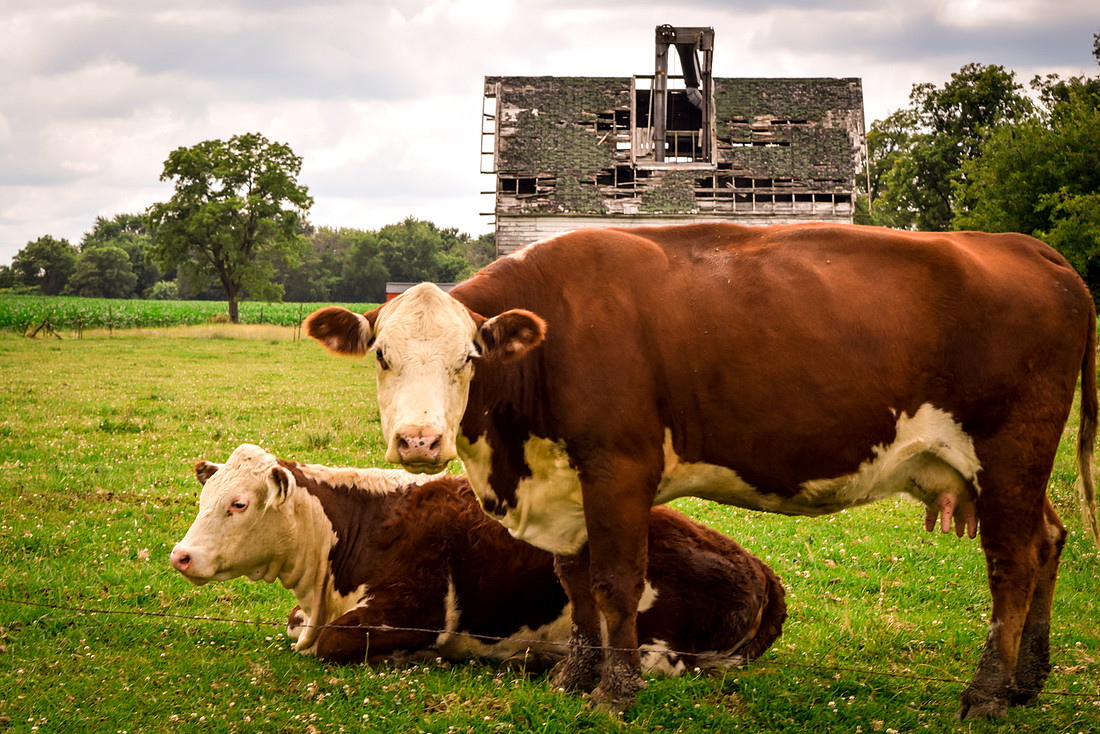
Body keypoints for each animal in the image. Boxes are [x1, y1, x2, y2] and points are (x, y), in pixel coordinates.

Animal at [170, 443, 786, 671]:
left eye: (238, 504)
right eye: (204, 498)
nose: (181, 556)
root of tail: (758, 566)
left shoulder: (418, 608)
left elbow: (333, 641)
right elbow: (302, 628)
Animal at [305, 222, 1100, 719]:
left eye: (468, 357)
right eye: (382, 355)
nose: (418, 441)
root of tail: (1031, 250)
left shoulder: (619, 467)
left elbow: (615, 583)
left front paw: (615, 692)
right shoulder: (568, 485)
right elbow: (576, 583)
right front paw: (575, 676)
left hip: (1011, 453)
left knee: (1014, 564)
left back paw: (989, 693)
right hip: (1011, 473)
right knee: (1050, 541)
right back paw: (1028, 680)